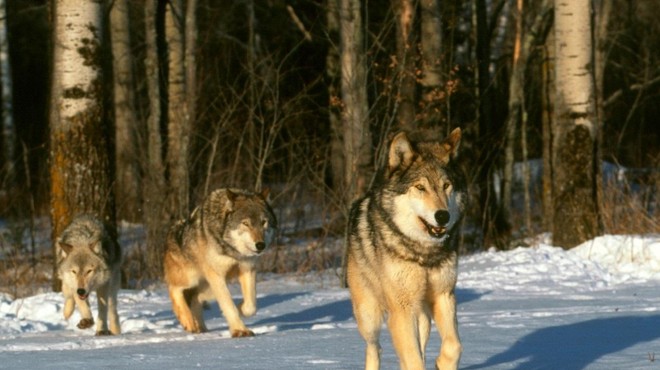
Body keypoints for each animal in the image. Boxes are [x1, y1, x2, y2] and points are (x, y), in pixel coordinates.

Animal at [165, 188, 278, 336]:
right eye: (246, 223)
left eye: (264, 222)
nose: (260, 245)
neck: (232, 250)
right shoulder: (217, 276)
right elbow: (228, 305)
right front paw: (240, 330)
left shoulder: (248, 269)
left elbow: (251, 306)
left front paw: (240, 309)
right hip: (192, 278)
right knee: (174, 289)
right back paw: (188, 322)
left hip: (208, 288)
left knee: (195, 298)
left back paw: (201, 329)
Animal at [342, 128, 466, 370]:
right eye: (420, 187)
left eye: (446, 186)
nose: (442, 216)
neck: (424, 253)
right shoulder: (402, 310)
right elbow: (413, 359)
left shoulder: (444, 295)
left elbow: (454, 346)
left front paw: (442, 363)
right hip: (369, 316)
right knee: (374, 347)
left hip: (422, 316)